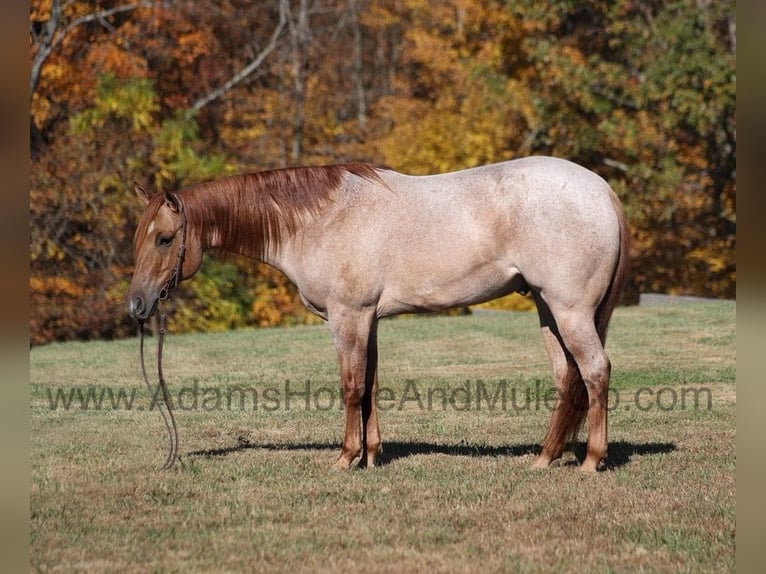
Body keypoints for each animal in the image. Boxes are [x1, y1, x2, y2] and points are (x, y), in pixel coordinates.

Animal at [127, 156, 630, 472]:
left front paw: (346, 458)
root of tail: (602, 190)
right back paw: (544, 458)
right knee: (567, 378)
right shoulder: (367, 318)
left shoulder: (348, 315)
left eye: (165, 239)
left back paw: (590, 461)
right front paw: (371, 454)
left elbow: (351, 387)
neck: (319, 219)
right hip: (547, 308)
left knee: (595, 371)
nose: (136, 304)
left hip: (569, 310)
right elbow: (368, 383)